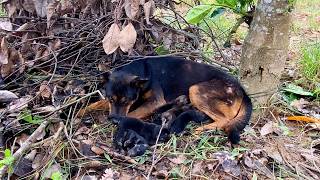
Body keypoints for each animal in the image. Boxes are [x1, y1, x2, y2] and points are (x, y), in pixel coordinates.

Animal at [100, 57, 252, 144]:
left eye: (126, 101)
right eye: (110, 99)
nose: (112, 118)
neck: (143, 71)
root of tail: (243, 92)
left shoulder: (155, 102)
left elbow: (131, 114)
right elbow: (97, 103)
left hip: (195, 90)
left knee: (225, 120)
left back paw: (201, 129)